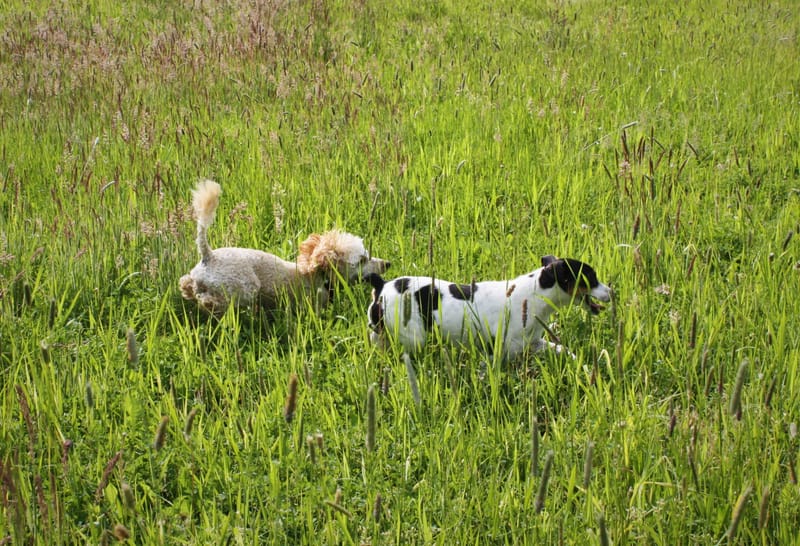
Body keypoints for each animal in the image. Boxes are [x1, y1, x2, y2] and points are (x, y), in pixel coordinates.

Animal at [366, 255, 608, 362]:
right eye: (591, 278)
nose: (611, 291)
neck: (533, 294)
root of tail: (382, 284)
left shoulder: (532, 344)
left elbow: (561, 349)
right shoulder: (498, 353)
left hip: (382, 331)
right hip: (414, 338)